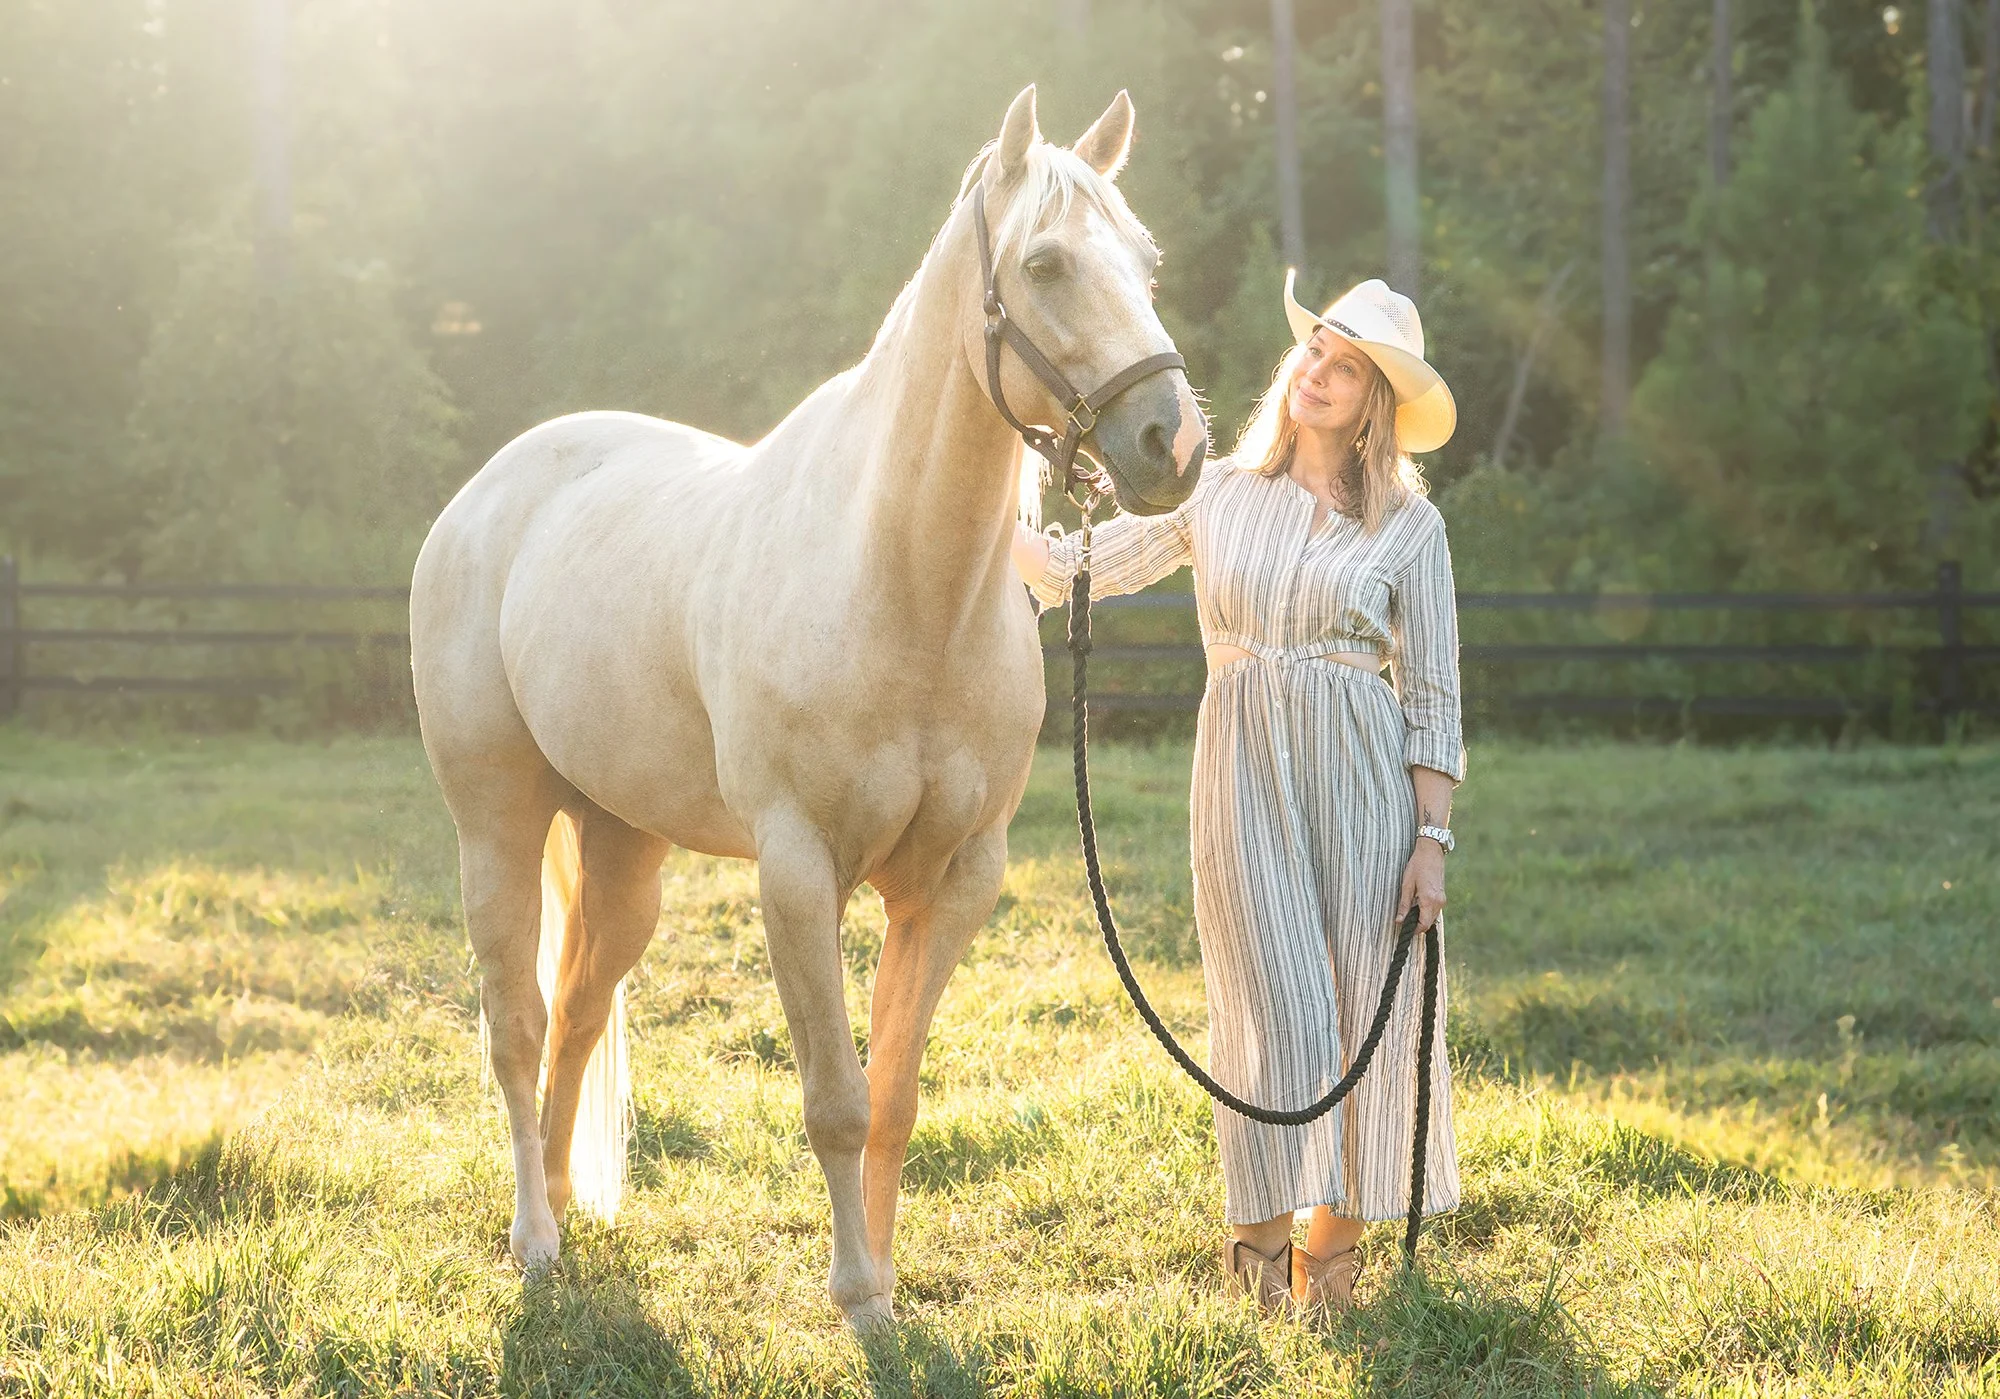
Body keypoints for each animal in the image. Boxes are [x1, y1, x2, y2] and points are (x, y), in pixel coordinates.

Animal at [408, 86, 1206, 1328]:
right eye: (1044, 262)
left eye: (1146, 260)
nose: (1172, 442)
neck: (899, 585)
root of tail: (490, 491)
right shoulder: (796, 871)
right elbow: (835, 1098)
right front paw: (857, 1296)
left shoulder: (954, 880)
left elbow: (894, 1092)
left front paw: (884, 1276)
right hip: (496, 823)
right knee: (517, 1025)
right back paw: (533, 1237)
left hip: (622, 848)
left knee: (579, 1013)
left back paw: (564, 1206)